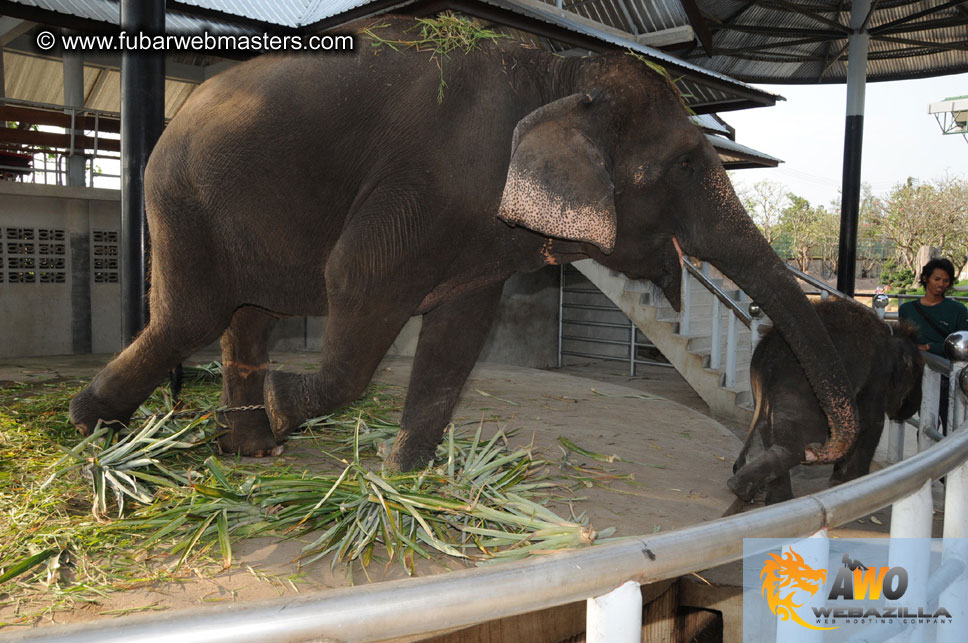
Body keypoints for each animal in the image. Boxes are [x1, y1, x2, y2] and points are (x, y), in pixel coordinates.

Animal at [73, 15, 864, 472]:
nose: (814, 447)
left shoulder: (479, 231)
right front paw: (287, 404)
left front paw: (409, 476)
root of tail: (173, 115)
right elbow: (358, 280)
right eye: (687, 167)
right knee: (192, 316)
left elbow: (461, 330)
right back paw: (92, 423)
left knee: (246, 319)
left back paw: (251, 448)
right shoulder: (426, 185)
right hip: (179, 199)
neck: (560, 72)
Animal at [728, 300, 924, 506]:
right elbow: (872, 423)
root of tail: (766, 357)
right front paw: (858, 483)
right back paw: (743, 490)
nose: (912, 409)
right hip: (798, 389)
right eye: (918, 372)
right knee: (802, 442)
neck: (892, 334)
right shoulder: (876, 377)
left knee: (771, 431)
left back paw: (770, 498)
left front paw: (837, 480)